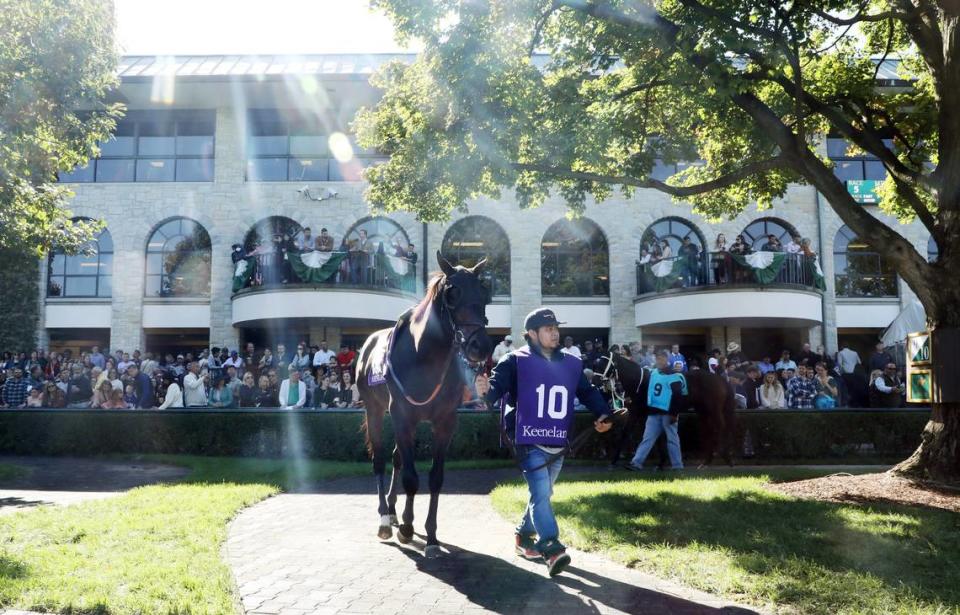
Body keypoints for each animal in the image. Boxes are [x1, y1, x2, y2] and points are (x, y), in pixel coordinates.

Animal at [360, 250, 496, 560]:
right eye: (452, 292)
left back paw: (394, 511)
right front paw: (407, 528)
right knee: (380, 460)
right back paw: (385, 519)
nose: (480, 346)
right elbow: (411, 478)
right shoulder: (402, 416)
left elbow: (435, 478)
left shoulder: (445, 422)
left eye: (485, 292)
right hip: (375, 411)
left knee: (396, 457)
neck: (424, 356)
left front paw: (431, 536)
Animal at [600, 352, 736, 466]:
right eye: (597, 363)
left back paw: (725, 456)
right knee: (709, 429)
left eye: (602, 364)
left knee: (720, 426)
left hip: (714, 409)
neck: (639, 383)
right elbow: (647, 436)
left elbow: (637, 434)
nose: (597, 382)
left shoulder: (639, 413)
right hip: (703, 411)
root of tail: (720, 379)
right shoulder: (643, 414)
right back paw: (707, 460)